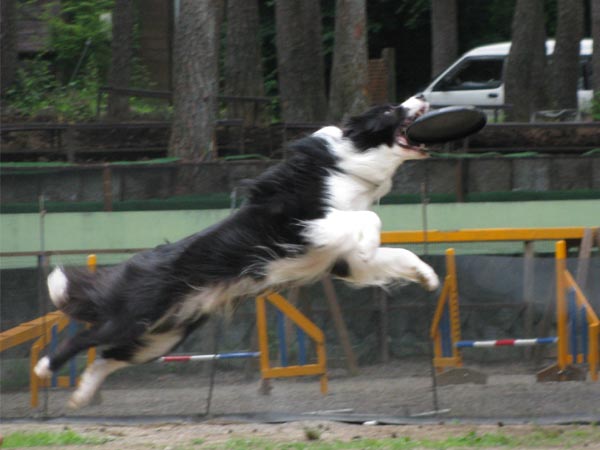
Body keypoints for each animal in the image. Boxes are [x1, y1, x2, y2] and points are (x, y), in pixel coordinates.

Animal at [35, 96, 439, 408]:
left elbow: (393, 255)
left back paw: (82, 395)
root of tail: (133, 267)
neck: (348, 166)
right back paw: (43, 368)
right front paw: (373, 242)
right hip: (135, 316)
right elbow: (369, 218)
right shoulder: (304, 224)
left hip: (164, 334)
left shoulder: (343, 260)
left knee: (108, 357)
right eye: (388, 110)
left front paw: (428, 277)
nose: (423, 96)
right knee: (85, 338)